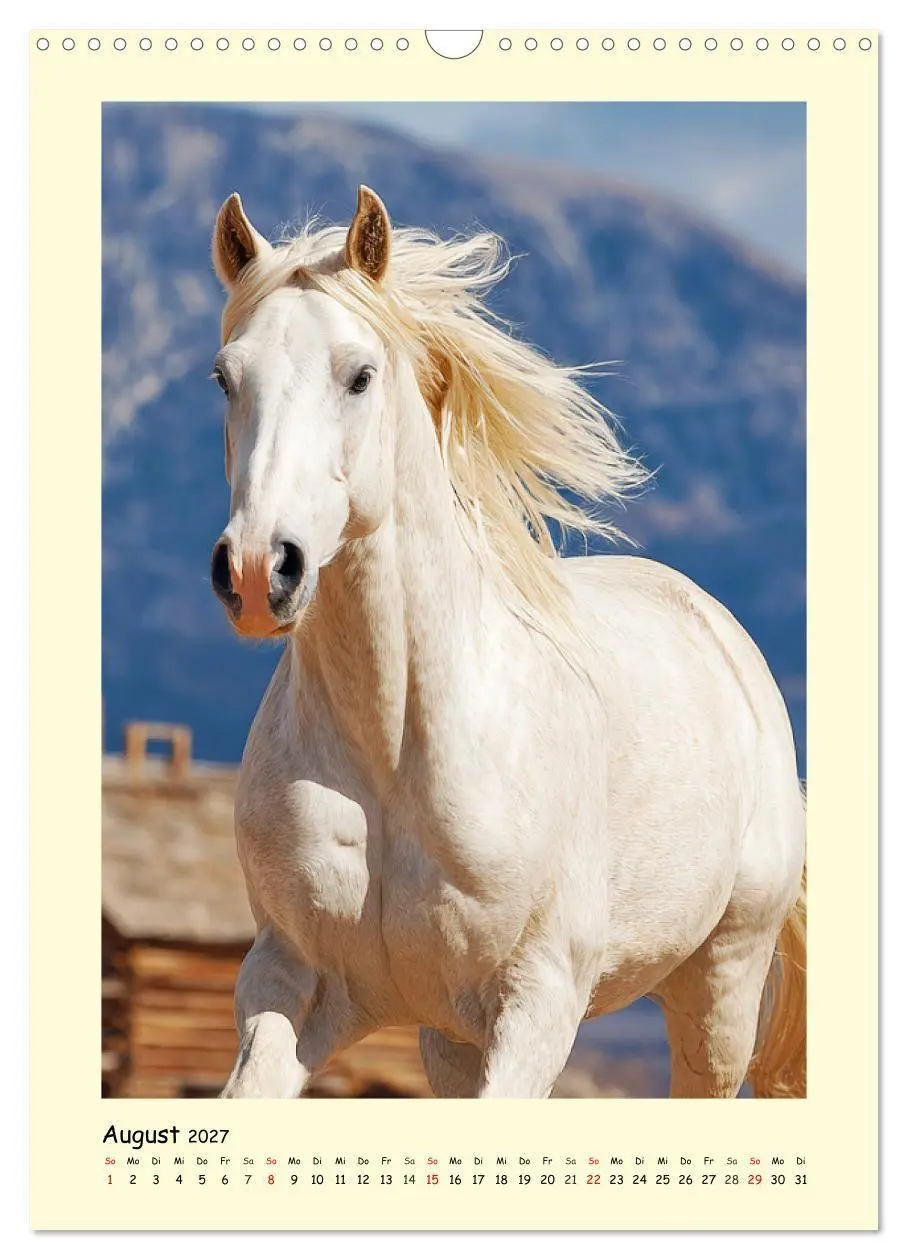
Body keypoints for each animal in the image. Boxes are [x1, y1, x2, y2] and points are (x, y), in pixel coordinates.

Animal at [207, 184, 806, 1100]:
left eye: (360, 375)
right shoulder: (288, 982)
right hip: (451, 1041)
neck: (395, 751)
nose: (255, 569)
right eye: (225, 377)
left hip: (721, 988)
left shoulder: (537, 1003)